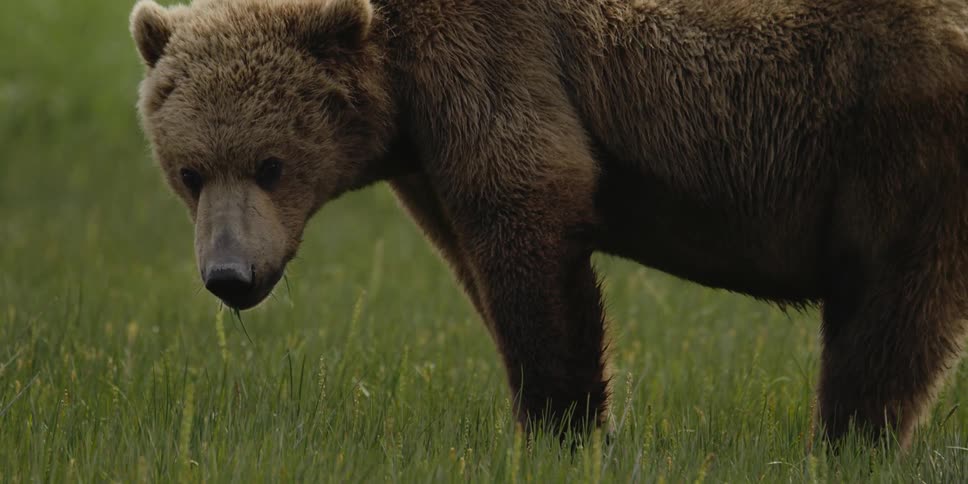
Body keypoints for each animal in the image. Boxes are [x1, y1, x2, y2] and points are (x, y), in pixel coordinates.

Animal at [130, 0, 968, 448]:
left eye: (270, 163)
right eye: (190, 172)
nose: (231, 276)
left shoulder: (498, 58)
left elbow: (531, 213)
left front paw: (561, 424)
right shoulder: (425, 152)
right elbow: (472, 254)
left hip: (893, 120)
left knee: (893, 297)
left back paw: (851, 437)